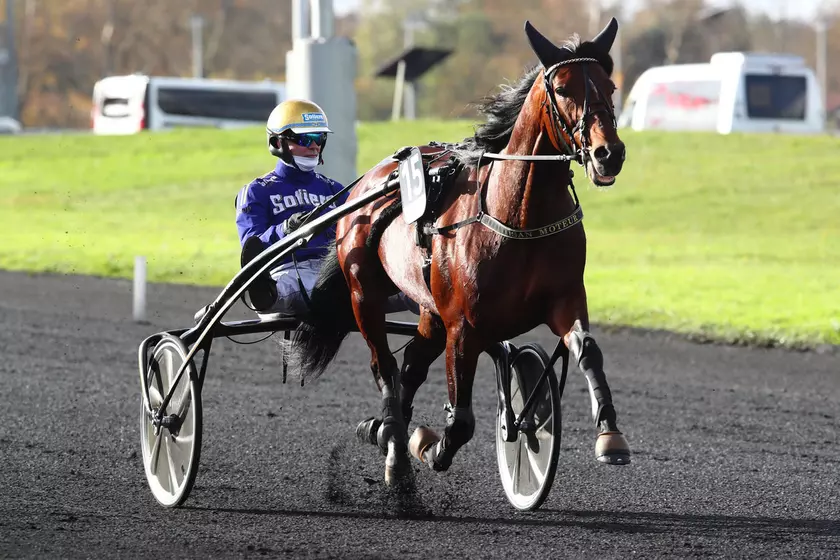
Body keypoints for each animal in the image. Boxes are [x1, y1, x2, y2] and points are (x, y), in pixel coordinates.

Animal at [290, 18, 632, 486]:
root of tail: (370, 180)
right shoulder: (464, 326)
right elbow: (462, 419)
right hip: (365, 292)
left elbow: (588, 349)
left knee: (411, 366)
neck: (519, 219)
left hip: (430, 309)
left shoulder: (564, 299)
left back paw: (384, 431)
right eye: (562, 88)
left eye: (610, 85)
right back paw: (396, 447)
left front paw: (610, 435)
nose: (608, 153)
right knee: (385, 367)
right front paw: (430, 447)